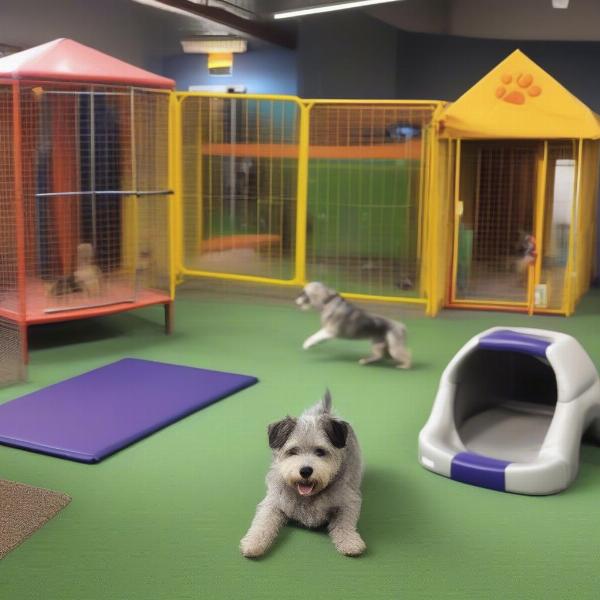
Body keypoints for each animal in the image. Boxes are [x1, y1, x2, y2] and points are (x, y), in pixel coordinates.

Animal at [240, 392, 366, 560]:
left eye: (320, 451)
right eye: (293, 451)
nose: (305, 471)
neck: (308, 497)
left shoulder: (348, 503)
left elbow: (344, 524)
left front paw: (350, 542)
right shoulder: (273, 503)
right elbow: (262, 523)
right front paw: (253, 542)